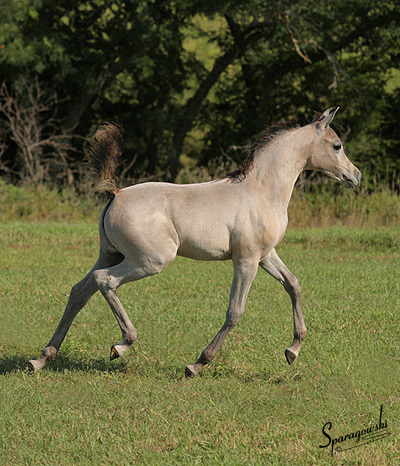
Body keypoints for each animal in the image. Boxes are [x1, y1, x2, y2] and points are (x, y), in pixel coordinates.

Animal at [27, 108, 360, 374]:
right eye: (337, 145)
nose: (355, 176)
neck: (262, 191)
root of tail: (116, 193)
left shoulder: (266, 255)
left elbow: (293, 285)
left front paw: (293, 350)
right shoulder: (247, 260)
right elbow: (234, 312)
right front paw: (198, 364)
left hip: (111, 254)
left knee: (79, 292)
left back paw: (42, 358)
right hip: (150, 261)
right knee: (104, 281)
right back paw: (121, 345)